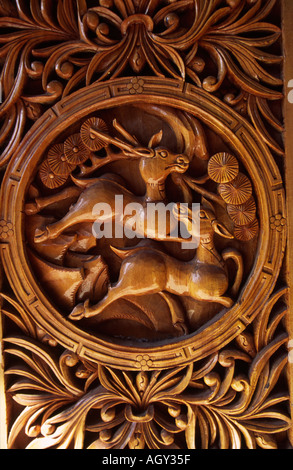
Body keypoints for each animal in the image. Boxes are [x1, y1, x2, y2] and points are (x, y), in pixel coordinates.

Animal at [68, 198, 242, 324]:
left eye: (203, 215)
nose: (179, 206)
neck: (207, 263)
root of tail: (130, 255)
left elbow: (232, 254)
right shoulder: (203, 295)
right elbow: (229, 300)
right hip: (138, 283)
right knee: (112, 292)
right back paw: (81, 311)